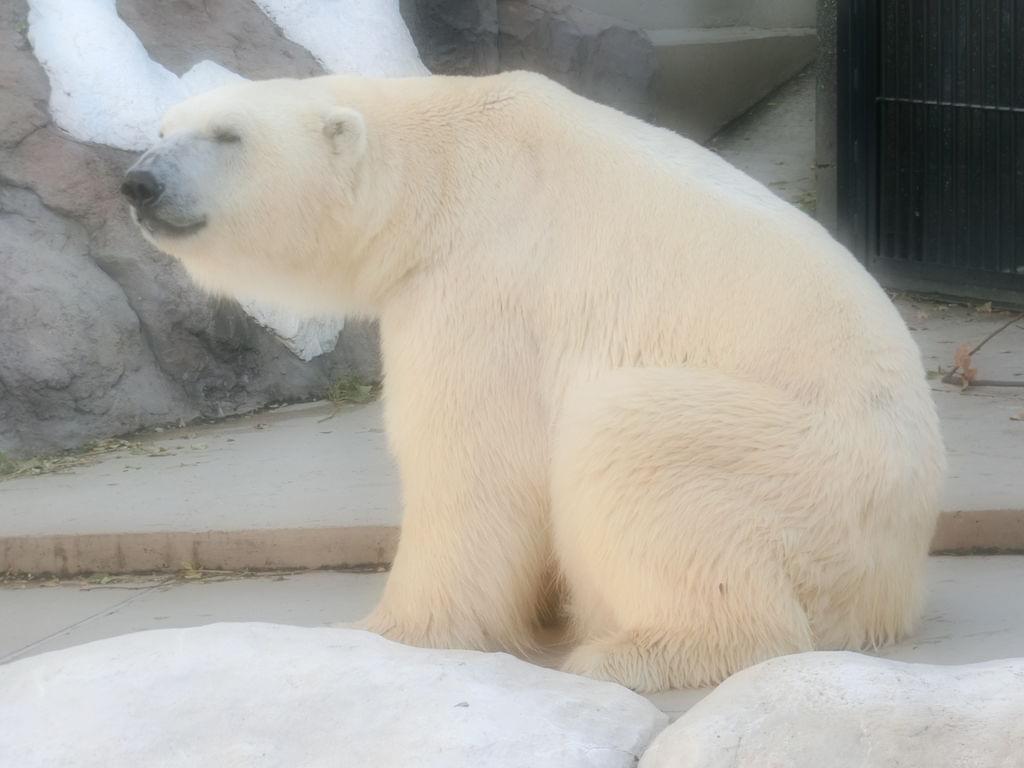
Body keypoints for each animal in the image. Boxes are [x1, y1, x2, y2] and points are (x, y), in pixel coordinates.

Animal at [121, 72, 942, 696]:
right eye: (161, 128)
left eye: (228, 135)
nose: (138, 181)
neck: (445, 169)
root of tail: (898, 577)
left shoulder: (483, 286)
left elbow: (473, 468)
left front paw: (386, 633)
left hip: (809, 470)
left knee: (631, 440)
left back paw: (636, 650)